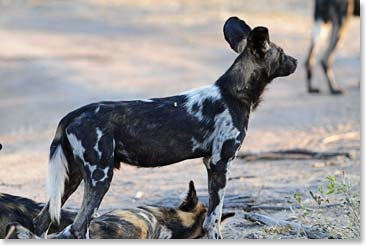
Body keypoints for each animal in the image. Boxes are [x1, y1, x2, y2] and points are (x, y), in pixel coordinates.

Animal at [33, 15, 300, 238]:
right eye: (282, 52)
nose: (296, 61)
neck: (234, 93)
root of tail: (73, 114)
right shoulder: (220, 163)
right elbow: (212, 222)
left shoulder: (210, 163)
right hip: (100, 177)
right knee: (77, 227)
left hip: (73, 178)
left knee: (42, 222)